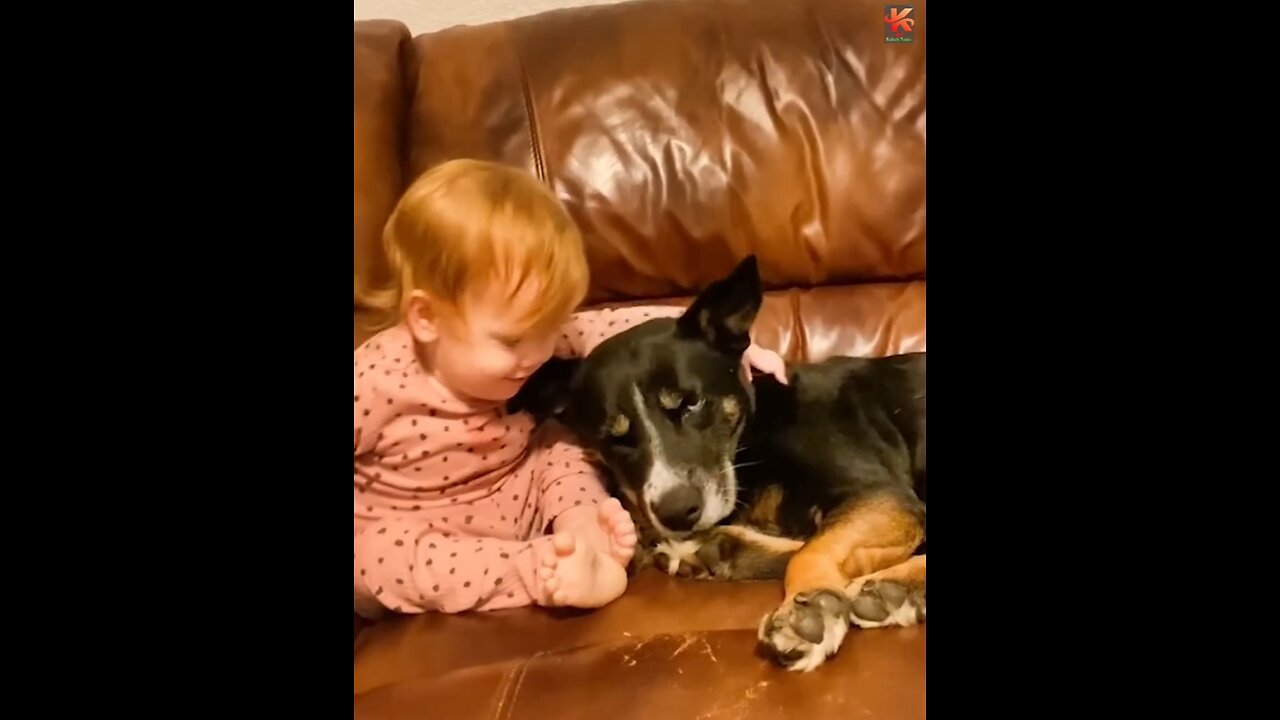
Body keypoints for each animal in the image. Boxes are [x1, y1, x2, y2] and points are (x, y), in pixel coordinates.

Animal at [512, 254, 931, 671]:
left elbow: (811, 550)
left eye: (690, 402)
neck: (753, 432)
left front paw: (808, 609)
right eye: (615, 437)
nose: (677, 513)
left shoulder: (883, 495)